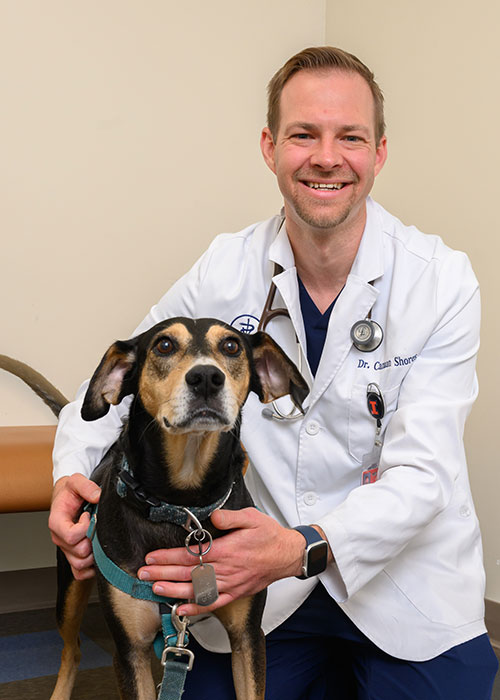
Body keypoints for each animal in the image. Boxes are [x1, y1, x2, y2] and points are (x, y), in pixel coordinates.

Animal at [1, 318, 308, 700]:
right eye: (164, 345)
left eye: (231, 346)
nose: (206, 377)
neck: (182, 506)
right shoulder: (130, 650)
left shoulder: (248, 638)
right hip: (70, 589)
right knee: (72, 649)